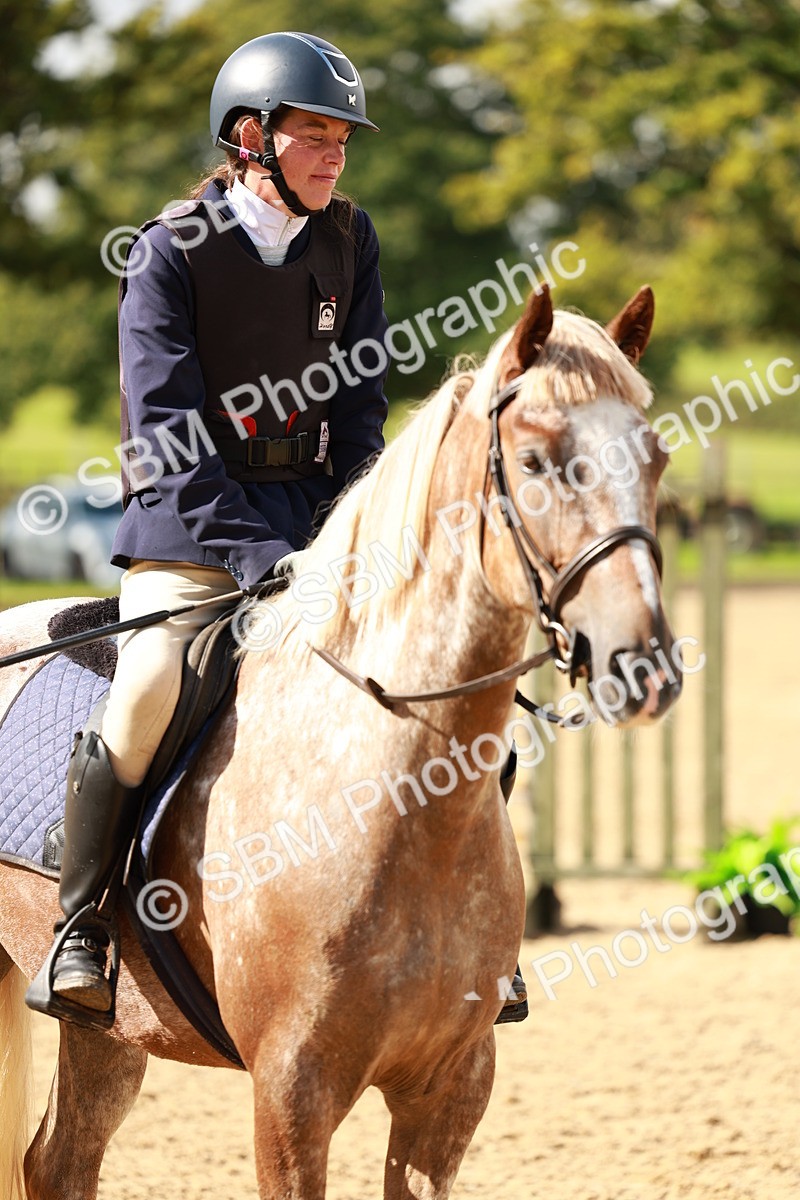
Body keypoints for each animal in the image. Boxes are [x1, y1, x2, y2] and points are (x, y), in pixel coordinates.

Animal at [0, 283, 681, 1200]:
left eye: (656, 458)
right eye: (537, 462)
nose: (641, 663)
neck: (395, 799)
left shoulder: (449, 1088)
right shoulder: (292, 1090)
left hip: (112, 1032)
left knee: (59, 1161)